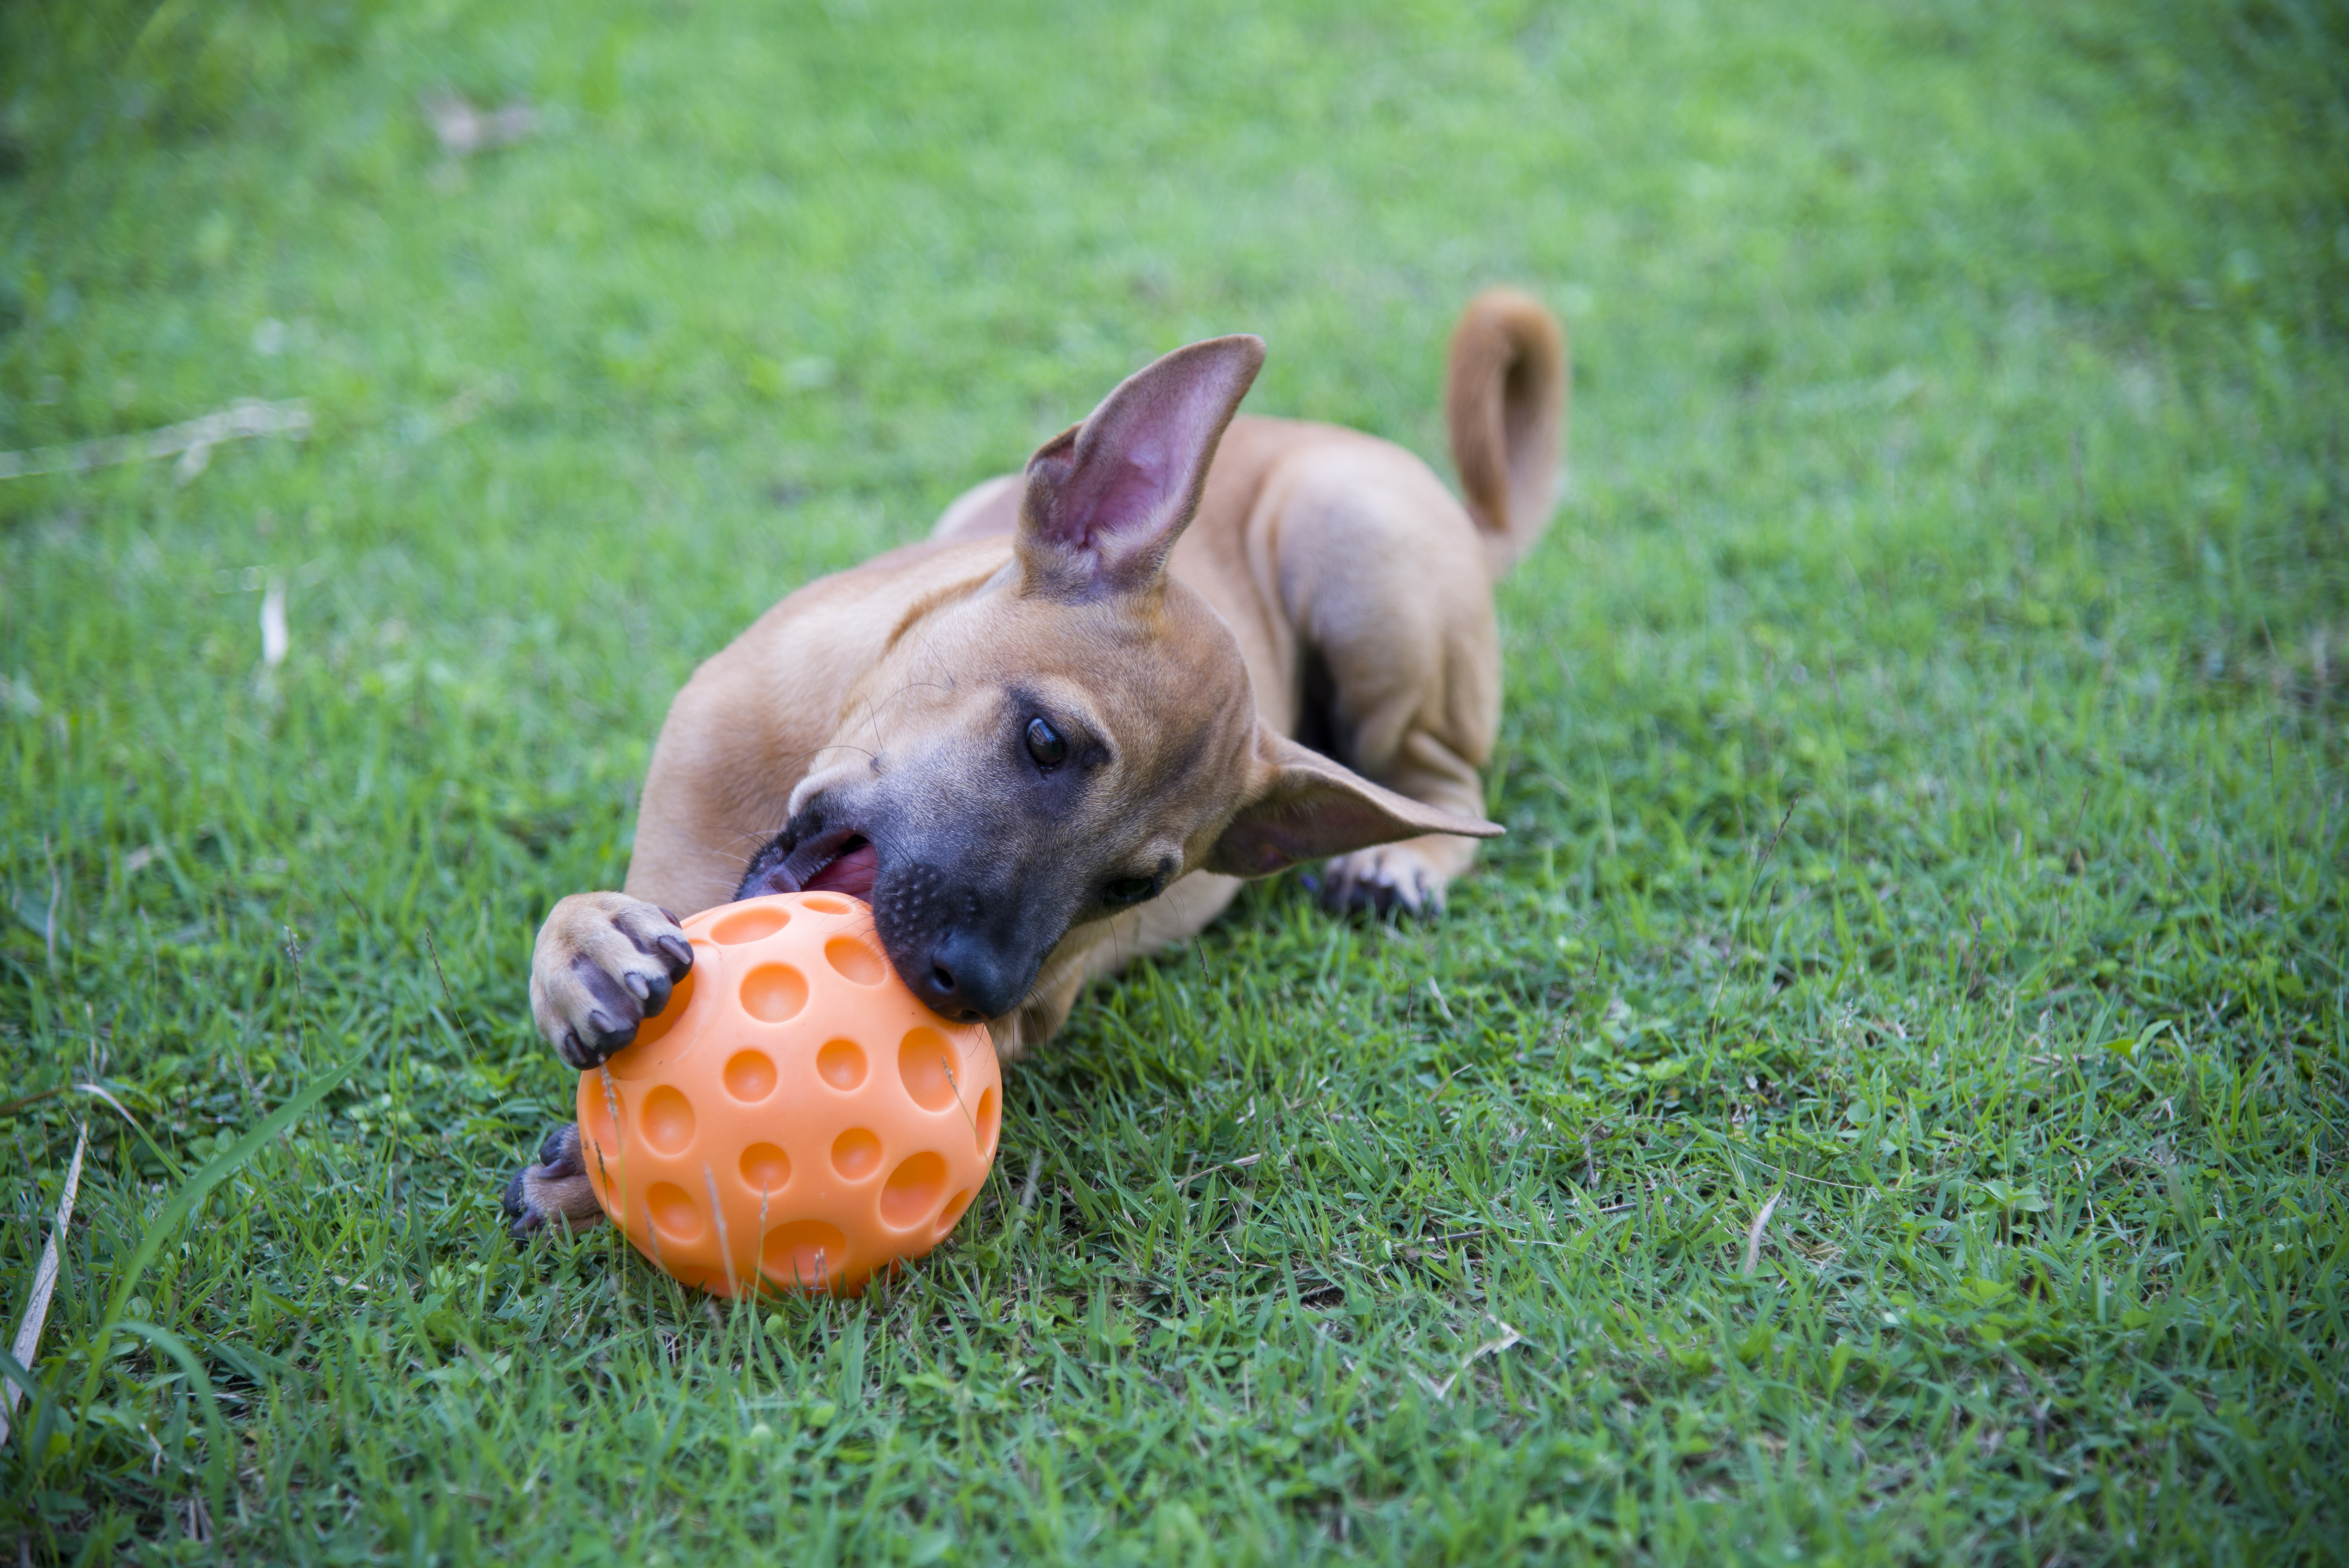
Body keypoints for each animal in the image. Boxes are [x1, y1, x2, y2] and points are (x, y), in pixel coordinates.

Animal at [505, 287, 1569, 1230]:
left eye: (1135, 886)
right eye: (1046, 742)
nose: (970, 987)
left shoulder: (1037, 1009)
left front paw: (587, 1174)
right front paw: (584, 945)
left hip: (1366, 559)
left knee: (1444, 779)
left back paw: (1400, 861)